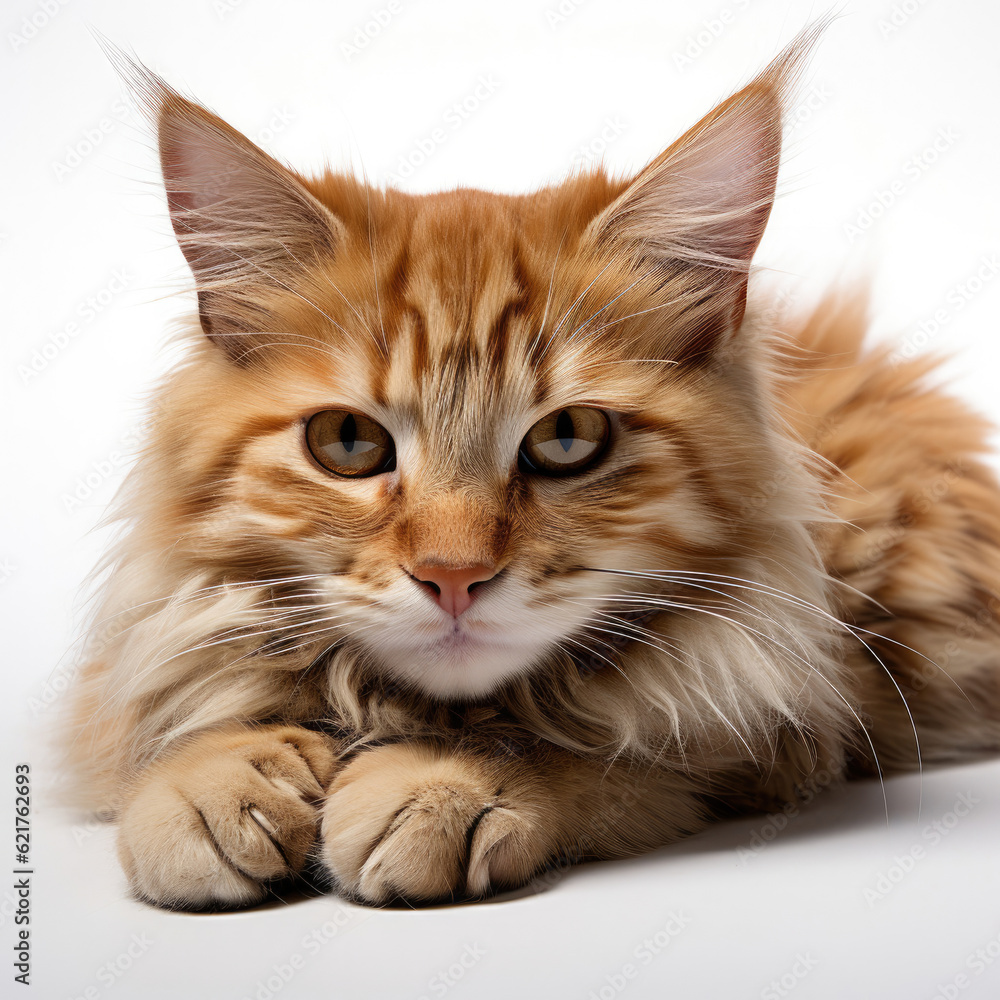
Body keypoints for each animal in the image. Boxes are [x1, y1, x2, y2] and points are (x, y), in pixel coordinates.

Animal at [62, 23, 1000, 916]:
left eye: (569, 438)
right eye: (348, 443)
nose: (453, 577)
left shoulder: (776, 720)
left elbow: (598, 741)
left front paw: (445, 780)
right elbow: (193, 710)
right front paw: (210, 782)